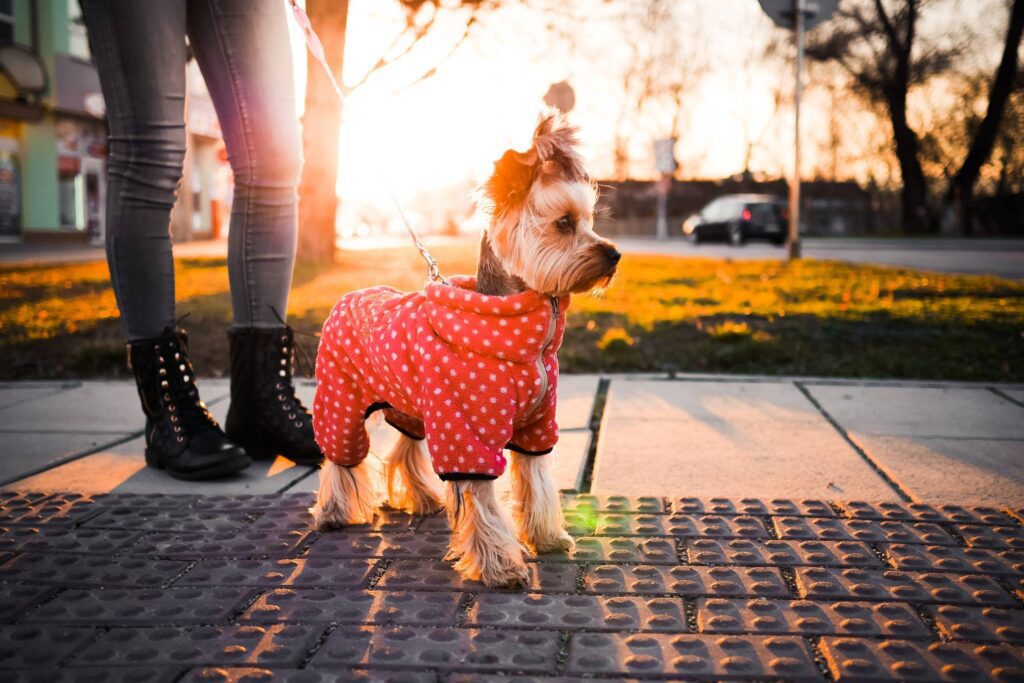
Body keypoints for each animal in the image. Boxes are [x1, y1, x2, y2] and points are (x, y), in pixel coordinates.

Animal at [307, 113, 618, 589]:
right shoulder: (468, 431)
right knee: (341, 458)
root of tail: (349, 295)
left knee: (405, 448)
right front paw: (501, 566)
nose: (615, 254)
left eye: (588, 220)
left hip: (412, 406)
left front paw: (546, 538)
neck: (530, 335)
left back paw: (420, 498)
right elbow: (483, 499)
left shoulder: (534, 425)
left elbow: (536, 479)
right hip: (341, 398)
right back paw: (333, 512)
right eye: (564, 223)